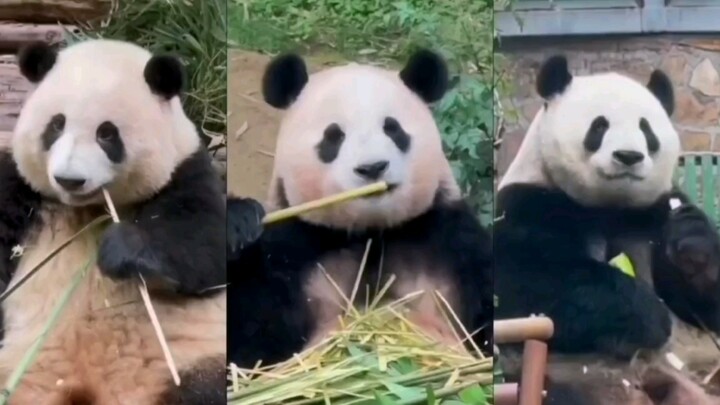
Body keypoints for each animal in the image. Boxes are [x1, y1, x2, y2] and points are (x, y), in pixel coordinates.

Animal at [0, 39, 226, 404]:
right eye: (56, 125)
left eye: (106, 134)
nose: (69, 180)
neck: (90, 209)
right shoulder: (20, 188)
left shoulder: (186, 171)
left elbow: (207, 248)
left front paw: (122, 249)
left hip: (186, 360)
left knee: (204, 387)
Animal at [226, 49, 494, 368]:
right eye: (333, 136)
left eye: (393, 129)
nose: (372, 167)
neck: (370, 232)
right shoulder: (295, 248)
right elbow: (252, 337)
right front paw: (238, 222)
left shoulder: (447, 241)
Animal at [494, 55, 720, 404]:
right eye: (599, 126)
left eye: (646, 129)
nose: (628, 156)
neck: (611, 204)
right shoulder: (529, 204)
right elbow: (530, 282)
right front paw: (649, 314)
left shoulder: (653, 212)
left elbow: (702, 308)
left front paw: (693, 246)